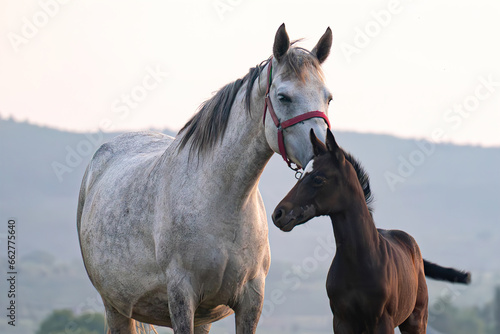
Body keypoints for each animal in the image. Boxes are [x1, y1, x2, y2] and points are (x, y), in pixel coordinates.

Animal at [77, 24, 332, 334]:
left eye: (328, 97)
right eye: (283, 96)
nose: (324, 153)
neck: (221, 201)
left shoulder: (249, 301)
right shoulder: (182, 297)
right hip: (116, 309)